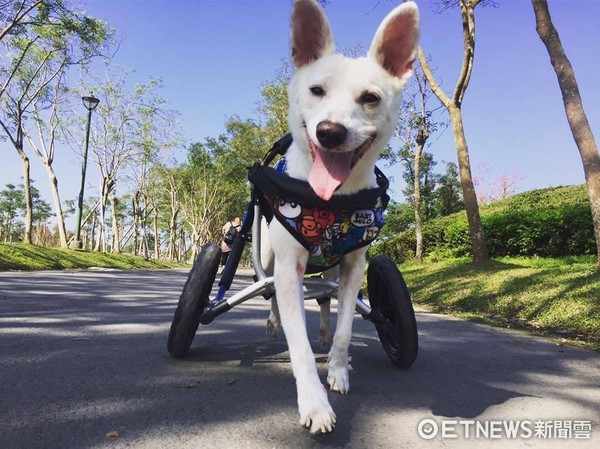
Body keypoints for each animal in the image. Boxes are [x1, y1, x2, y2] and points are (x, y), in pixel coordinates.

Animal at [264, 0, 420, 434]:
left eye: (370, 98)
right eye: (316, 90)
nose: (330, 131)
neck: (332, 203)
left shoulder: (353, 266)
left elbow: (347, 325)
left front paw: (337, 371)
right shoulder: (289, 266)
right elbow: (297, 345)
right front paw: (315, 404)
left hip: (331, 269)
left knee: (323, 299)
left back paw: (321, 331)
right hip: (265, 255)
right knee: (267, 291)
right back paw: (273, 323)